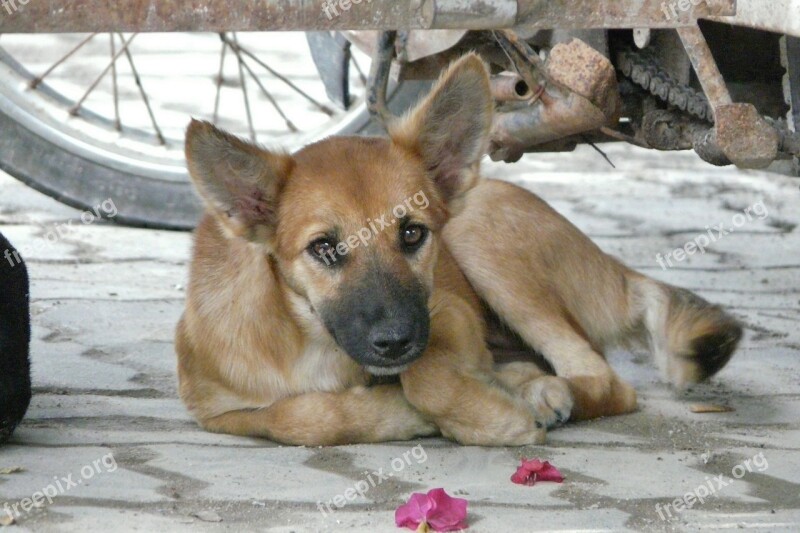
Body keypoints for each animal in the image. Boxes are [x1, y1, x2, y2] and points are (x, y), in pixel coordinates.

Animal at [177, 53, 744, 444]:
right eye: (325, 249)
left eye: (412, 233)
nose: (395, 342)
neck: (308, 338)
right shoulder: (210, 404)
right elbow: (295, 417)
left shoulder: (446, 314)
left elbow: (425, 378)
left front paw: (489, 416)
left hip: (481, 238)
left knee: (603, 379)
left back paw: (539, 392)